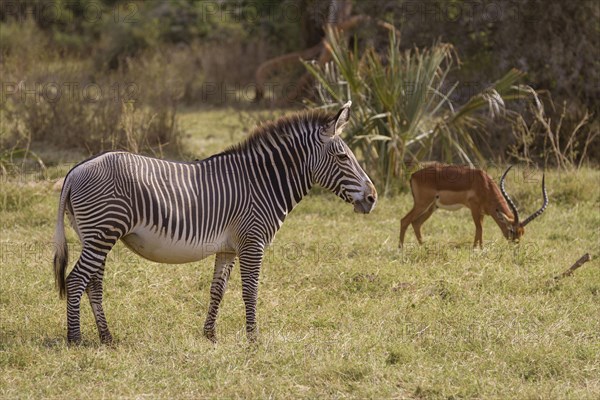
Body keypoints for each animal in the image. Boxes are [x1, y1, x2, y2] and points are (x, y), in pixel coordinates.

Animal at [54, 101, 378, 342]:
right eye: (343, 158)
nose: (373, 197)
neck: (261, 182)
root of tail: (76, 170)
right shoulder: (252, 242)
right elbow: (250, 290)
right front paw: (253, 339)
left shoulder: (228, 248)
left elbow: (217, 290)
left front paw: (210, 335)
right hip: (102, 233)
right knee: (76, 280)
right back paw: (75, 339)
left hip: (94, 236)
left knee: (93, 285)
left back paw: (106, 337)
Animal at [398, 163, 548, 247]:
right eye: (511, 230)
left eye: (522, 232)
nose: (516, 246)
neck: (484, 184)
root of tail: (413, 175)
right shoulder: (474, 208)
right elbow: (479, 229)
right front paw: (479, 249)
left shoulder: (482, 212)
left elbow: (479, 229)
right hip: (422, 204)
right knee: (404, 220)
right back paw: (401, 249)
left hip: (431, 207)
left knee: (416, 223)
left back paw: (424, 248)